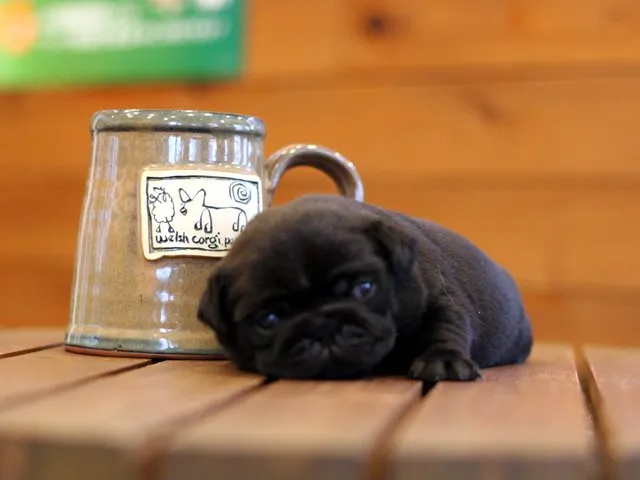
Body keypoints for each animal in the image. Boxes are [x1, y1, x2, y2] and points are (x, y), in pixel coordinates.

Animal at [196, 193, 536, 380]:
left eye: (364, 289)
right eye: (268, 319)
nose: (322, 326)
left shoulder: (439, 299)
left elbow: (446, 327)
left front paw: (443, 361)